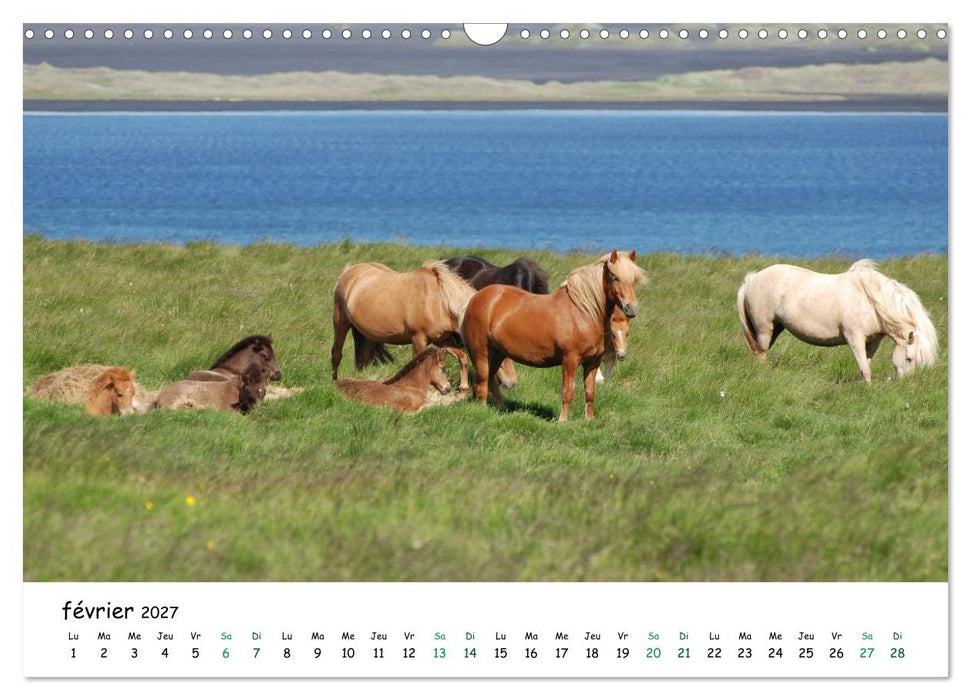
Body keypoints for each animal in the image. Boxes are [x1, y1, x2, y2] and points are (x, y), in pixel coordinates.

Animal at [331, 260, 475, 391]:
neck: (439, 302)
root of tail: (348, 271)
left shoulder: (443, 340)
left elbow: (462, 357)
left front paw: (463, 388)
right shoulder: (418, 340)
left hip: (369, 336)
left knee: (362, 361)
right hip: (341, 322)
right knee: (336, 354)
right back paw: (334, 383)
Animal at [460, 250, 646, 422]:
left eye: (634, 280)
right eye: (615, 277)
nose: (631, 309)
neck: (583, 312)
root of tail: (476, 298)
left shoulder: (593, 362)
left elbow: (590, 392)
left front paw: (588, 420)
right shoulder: (570, 360)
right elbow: (567, 392)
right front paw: (562, 421)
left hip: (499, 353)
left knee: (490, 380)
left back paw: (502, 409)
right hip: (481, 352)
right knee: (482, 381)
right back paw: (482, 411)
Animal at [736, 259, 938, 383]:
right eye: (909, 358)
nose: (904, 384)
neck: (871, 301)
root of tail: (751, 279)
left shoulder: (872, 342)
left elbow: (866, 364)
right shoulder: (854, 338)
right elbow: (864, 367)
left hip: (776, 329)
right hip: (764, 329)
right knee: (761, 353)